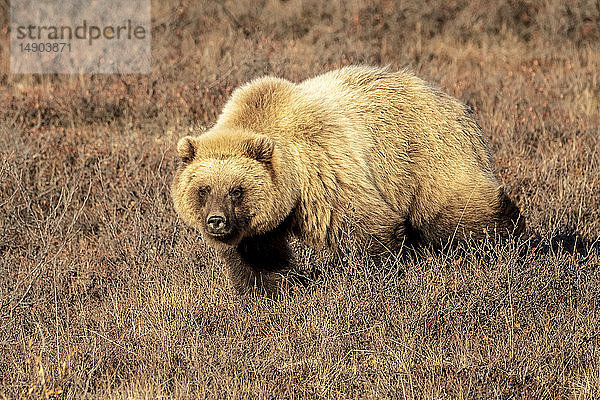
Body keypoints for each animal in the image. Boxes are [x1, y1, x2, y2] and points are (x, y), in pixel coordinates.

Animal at [171, 65, 524, 294]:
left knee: (460, 211)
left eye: (236, 190)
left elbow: (365, 226)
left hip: (429, 154)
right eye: (203, 190)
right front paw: (266, 294)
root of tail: (456, 102)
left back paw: (512, 244)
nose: (217, 221)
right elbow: (258, 258)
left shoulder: (323, 170)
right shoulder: (260, 223)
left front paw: (376, 277)